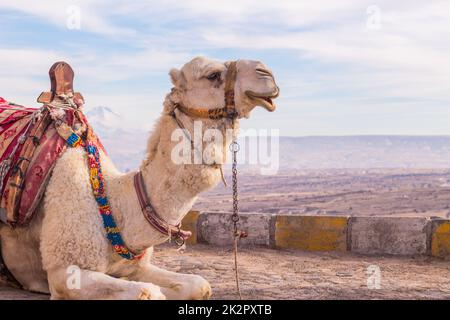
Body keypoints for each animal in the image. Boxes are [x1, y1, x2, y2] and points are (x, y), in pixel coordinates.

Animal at [0, 56, 278, 298]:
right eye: (212, 75)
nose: (267, 74)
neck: (114, 206)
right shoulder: (63, 271)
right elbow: (148, 293)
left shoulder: (136, 266)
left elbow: (199, 285)